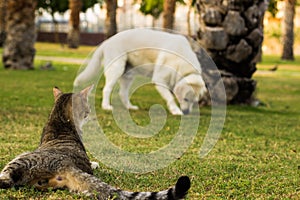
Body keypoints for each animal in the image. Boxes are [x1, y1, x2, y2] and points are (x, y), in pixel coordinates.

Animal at [74, 28, 207, 115]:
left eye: (195, 101)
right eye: (186, 99)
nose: (186, 112)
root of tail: (108, 40)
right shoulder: (159, 79)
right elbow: (170, 97)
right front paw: (175, 111)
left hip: (128, 75)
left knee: (122, 93)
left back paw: (129, 107)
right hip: (117, 69)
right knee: (107, 89)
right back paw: (106, 106)